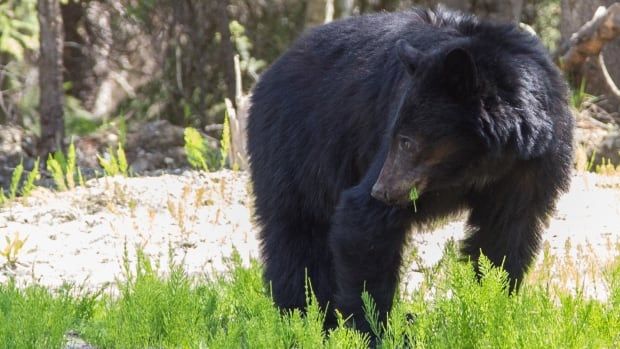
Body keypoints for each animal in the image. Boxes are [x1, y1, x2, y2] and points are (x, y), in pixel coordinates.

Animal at [246, 6, 572, 330]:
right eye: (395, 136)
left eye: (406, 141)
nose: (382, 190)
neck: (482, 162)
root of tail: (271, 72)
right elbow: (363, 221)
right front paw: (372, 327)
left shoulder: (533, 165)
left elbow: (504, 236)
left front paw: (489, 307)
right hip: (297, 146)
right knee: (297, 233)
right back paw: (301, 316)